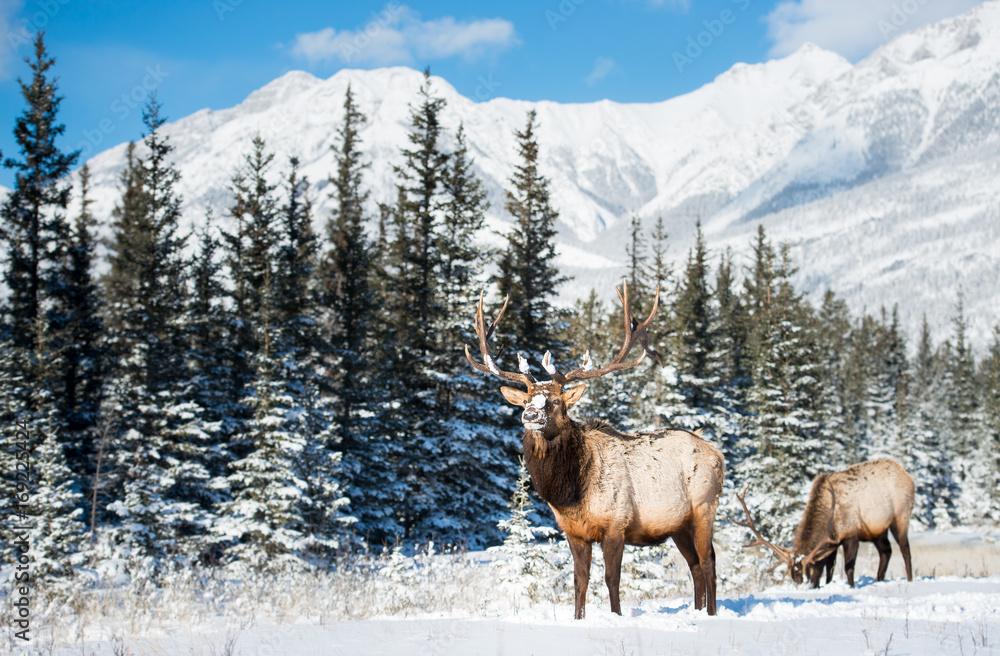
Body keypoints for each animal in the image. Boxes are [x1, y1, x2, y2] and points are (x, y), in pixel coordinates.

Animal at [466, 283, 725, 618]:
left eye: (556, 401)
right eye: (526, 400)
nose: (530, 415)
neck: (571, 494)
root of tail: (718, 455)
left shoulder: (616, 524)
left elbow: (611, 579)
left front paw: (615, 616)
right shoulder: (574, 532)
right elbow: (580, 581)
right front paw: (579, 617)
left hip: (705, 507)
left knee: (709, 562)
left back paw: (711, 614)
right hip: (678, 524)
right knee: (693, 565)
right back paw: (698, 610)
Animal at [734, 458, 914, 588]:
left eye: (812, 567)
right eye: (794, 577)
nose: (808, 586)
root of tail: (908, 477)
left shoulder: (850, 534)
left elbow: (848, 567)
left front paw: (851, 587)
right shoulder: (832, 542)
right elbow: (830, 570)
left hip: (901, 515)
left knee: (905, 549)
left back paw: (910, 579)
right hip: (877, 530)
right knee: (886, 551)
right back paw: (878, 580)